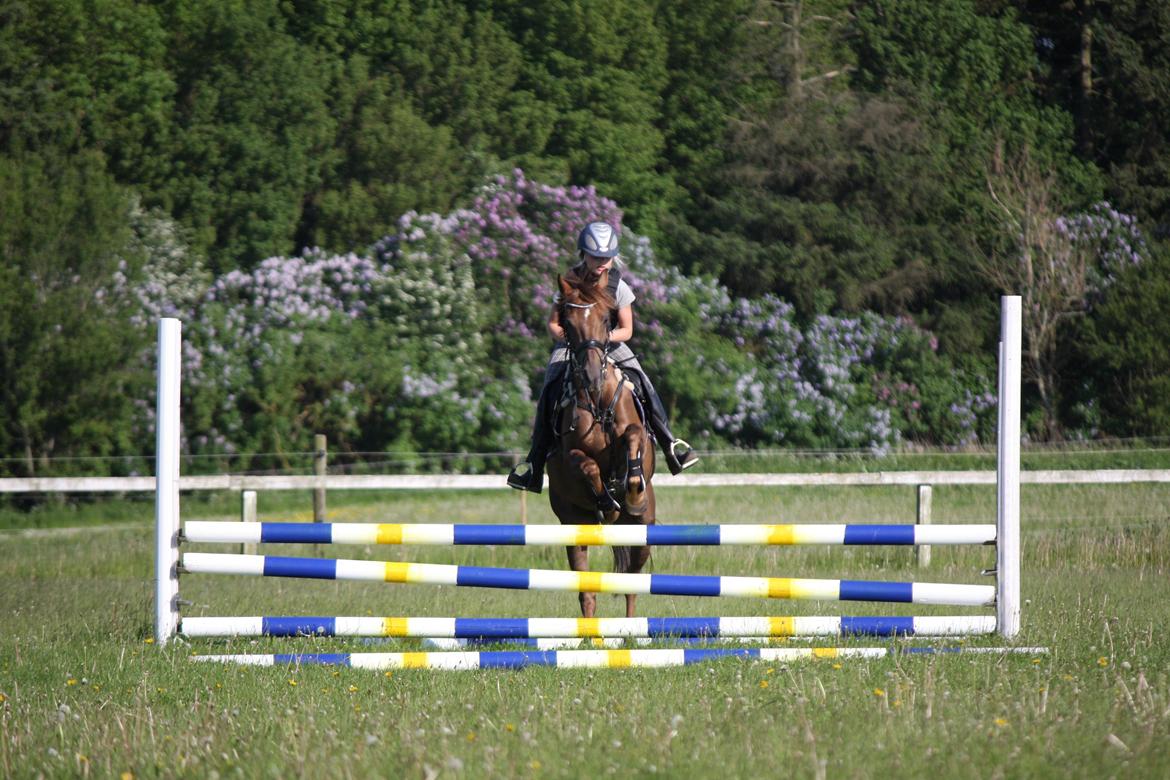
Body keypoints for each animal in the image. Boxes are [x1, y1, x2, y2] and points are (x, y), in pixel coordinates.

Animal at [545, 272, 656, 619]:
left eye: (607, 319)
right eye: (567, 322)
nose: (593, 377)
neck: (597, 401)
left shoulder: (636, 435)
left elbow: (632, 438)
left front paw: (631, 491)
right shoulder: (569, 454)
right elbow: (587, 464)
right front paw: (607, 502)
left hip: (644, 529)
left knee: (633, 581)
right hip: (573, 526)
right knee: (587, 590)